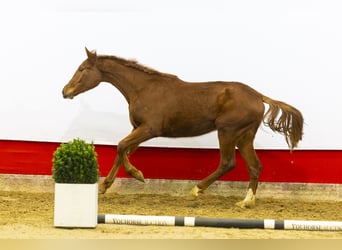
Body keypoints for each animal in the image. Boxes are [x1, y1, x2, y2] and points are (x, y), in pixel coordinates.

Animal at [62, 47, 304, 208]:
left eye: (82, 68)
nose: (65, 91)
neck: (143, 89)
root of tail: (259, 96)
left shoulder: (149, 129)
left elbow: (121, 147)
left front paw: (138, 175)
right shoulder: (138, 129)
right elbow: (122, 152)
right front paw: (105, 186)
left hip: (227, 131)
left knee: (228, 162)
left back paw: (196, 189)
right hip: (245, 136)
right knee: (254, 166)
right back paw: (246, 201)